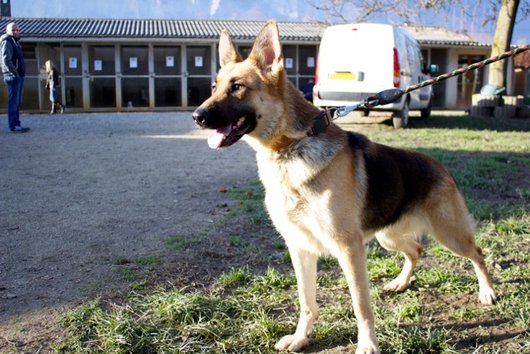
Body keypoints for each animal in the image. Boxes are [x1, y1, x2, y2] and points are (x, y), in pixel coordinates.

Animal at [193, 20, 496, 352]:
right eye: (214, 88)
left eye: (237, 87)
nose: (197, 116)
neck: (290, 148)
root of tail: (439, 165)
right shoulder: (299, 247)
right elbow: (306, 301)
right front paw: (301, 338)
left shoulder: (348, 249)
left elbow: (361, 304)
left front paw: (367, 345)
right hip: (387, 237)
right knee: (416, 250)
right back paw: (401, 283)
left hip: (449, 235)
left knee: (477, 253)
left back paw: (487, 292)